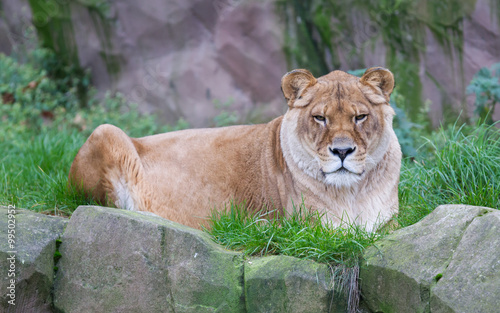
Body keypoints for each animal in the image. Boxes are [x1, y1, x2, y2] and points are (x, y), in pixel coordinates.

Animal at [68, 66, 402, 232]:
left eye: (360, 117)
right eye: (320, 118)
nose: (342, 151)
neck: (353, 192)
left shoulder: (390, 220)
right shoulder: (312, 226)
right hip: (105, 131)